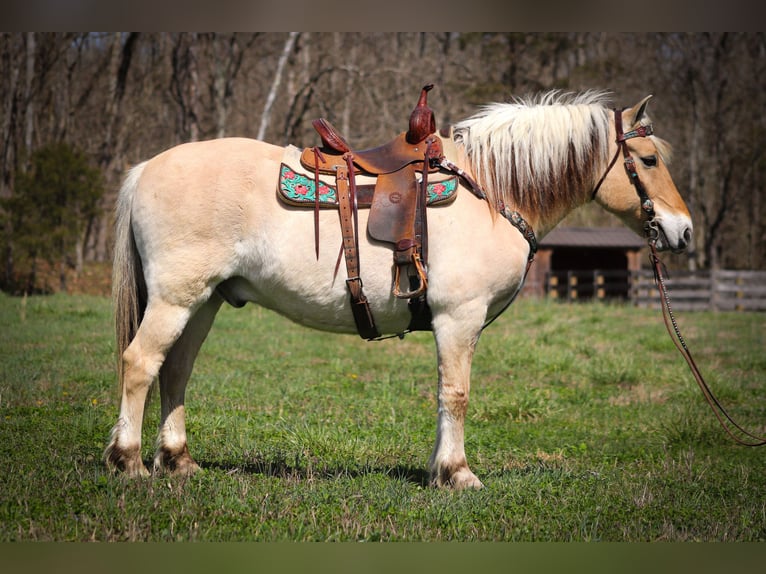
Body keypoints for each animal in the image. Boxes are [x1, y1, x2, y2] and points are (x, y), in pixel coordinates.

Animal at [103, 89, 696, 490]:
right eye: (648, 160)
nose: (683, 231)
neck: (492, 192)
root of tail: (144, 168)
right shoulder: (460, 316)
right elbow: (456, 393)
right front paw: (458, 473)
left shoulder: (455, 322)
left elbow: (443, 393)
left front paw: (439, 469)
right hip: (177, 298)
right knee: (140, 363)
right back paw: (128, 461)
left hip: (203, 301)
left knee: (175, 370)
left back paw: (178, 460)